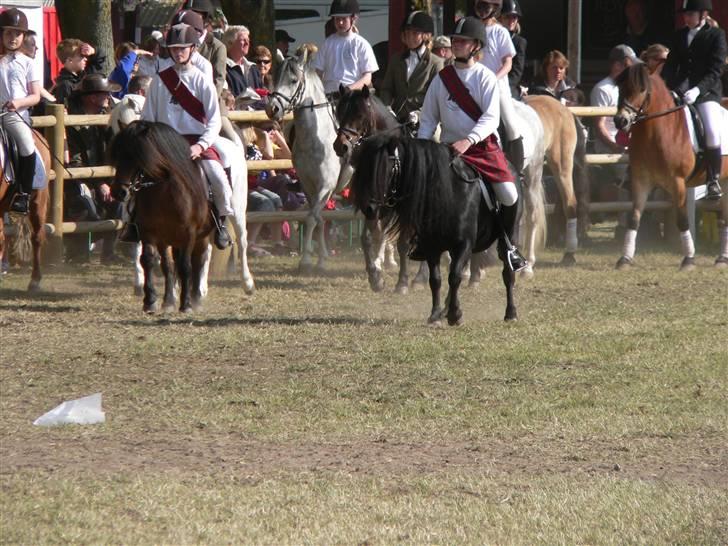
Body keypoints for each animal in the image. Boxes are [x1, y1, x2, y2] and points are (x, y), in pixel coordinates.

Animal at [266, 49, 342, 272]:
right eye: (274, 78)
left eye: (293, 80)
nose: (272, 109)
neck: (316, 140)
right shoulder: (309, 187)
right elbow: (318, 219)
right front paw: (321, 258)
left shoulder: (325, 187)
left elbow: (310, 219)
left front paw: (306, 260)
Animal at [352, 133, 516, 324]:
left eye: (388, 168)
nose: (369, 208)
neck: (448, 192)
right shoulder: (432, 246)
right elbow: (436, 279)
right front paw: (436, 314)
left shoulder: (464, 244)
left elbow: (454, 276)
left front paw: (455, 314)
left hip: (507, 236)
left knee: (507, 271)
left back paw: (511, 313)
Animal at [616, 63, 728, 268]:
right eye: (620, 87)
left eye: (642, 89)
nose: (621, 121)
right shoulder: (641, 181)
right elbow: (634, 218)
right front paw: (625, 259)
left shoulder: (678, 182)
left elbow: (682, 220)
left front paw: (689, 259)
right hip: (725, 180)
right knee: (724, 219)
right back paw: (722, 258)